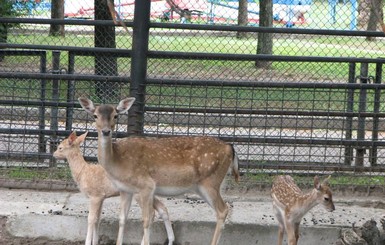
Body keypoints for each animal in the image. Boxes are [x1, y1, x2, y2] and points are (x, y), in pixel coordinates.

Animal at [78, 96, 238, 245]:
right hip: (202, 186)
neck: (118, 162)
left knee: (223, 210)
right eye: (95, 115)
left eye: (116, 115)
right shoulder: (125, 190)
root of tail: (230, 148)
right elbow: (122, 219)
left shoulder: (147, 186)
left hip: (211, 181)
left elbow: (147, 219)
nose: (106, 131)